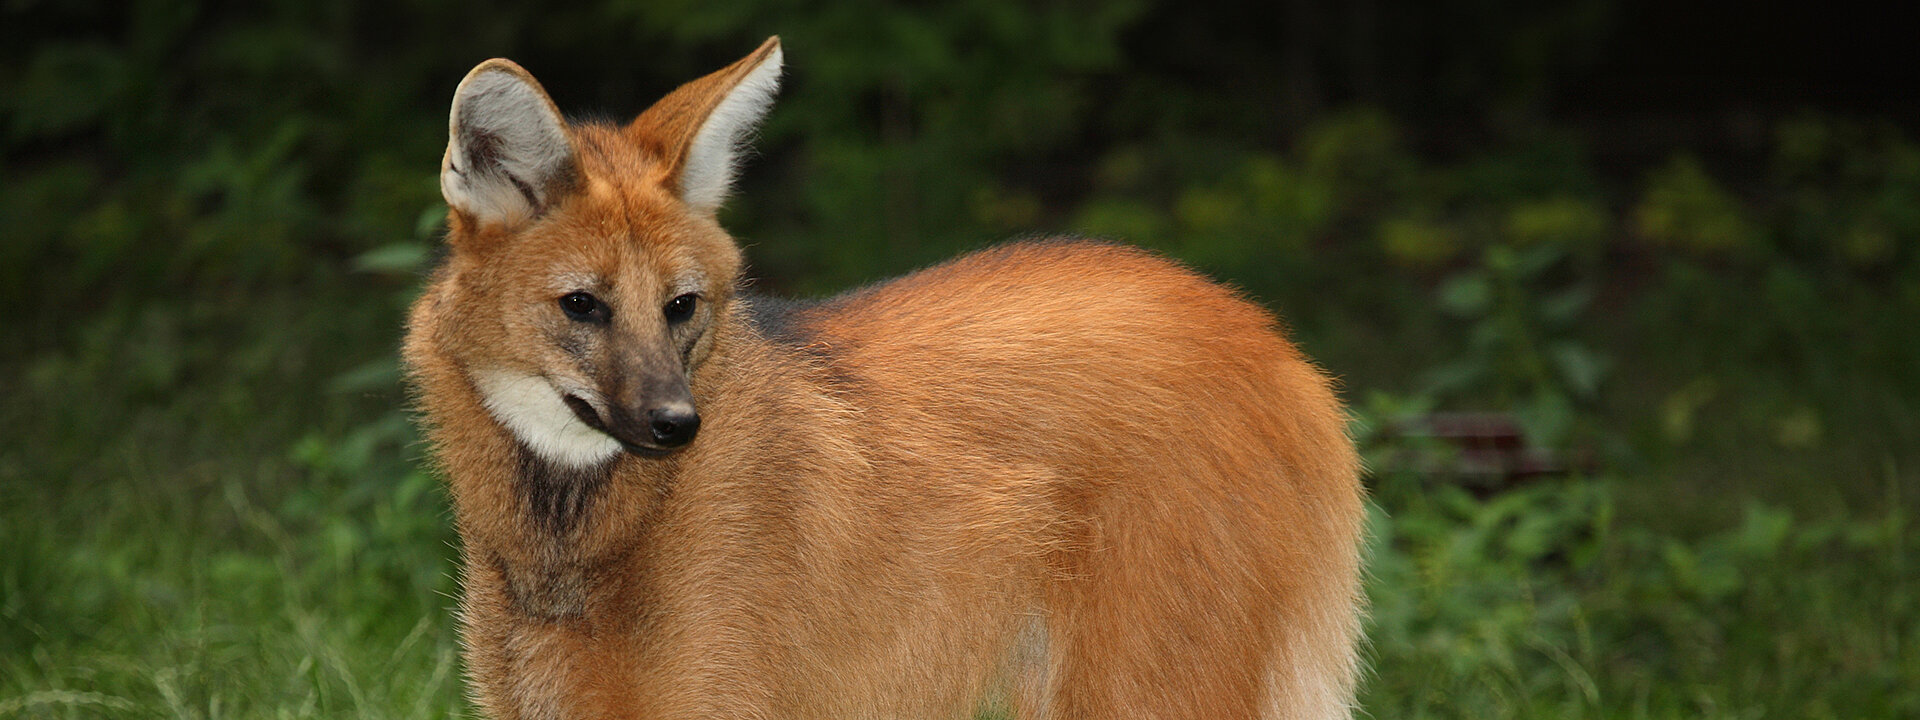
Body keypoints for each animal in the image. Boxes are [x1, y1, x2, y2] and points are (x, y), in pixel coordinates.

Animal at [405, 36, 1367, 720]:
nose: (677, 424)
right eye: (582, 305)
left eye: (681, 306)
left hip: (1143, 678)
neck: (567, 539)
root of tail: (1272, 342)